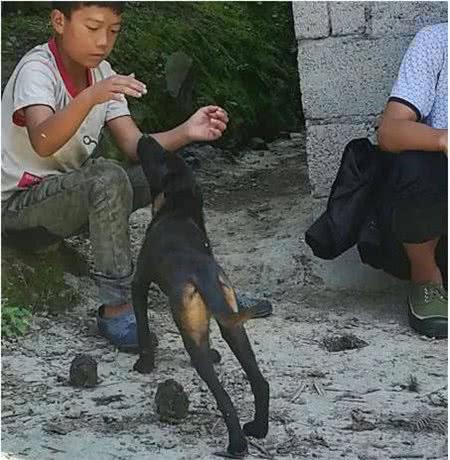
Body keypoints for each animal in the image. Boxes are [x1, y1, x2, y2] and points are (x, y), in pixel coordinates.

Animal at [132, 135, 268, 458]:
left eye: (162, 157)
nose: (144, 136)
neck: (178, 209)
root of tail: (204, 274)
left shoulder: (139, 283)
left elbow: (143, 328)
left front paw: (145, 363)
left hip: (194, 337)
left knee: (224, 398)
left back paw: (237, 444)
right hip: (233, 326)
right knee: (260, 381)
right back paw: (259, 428)